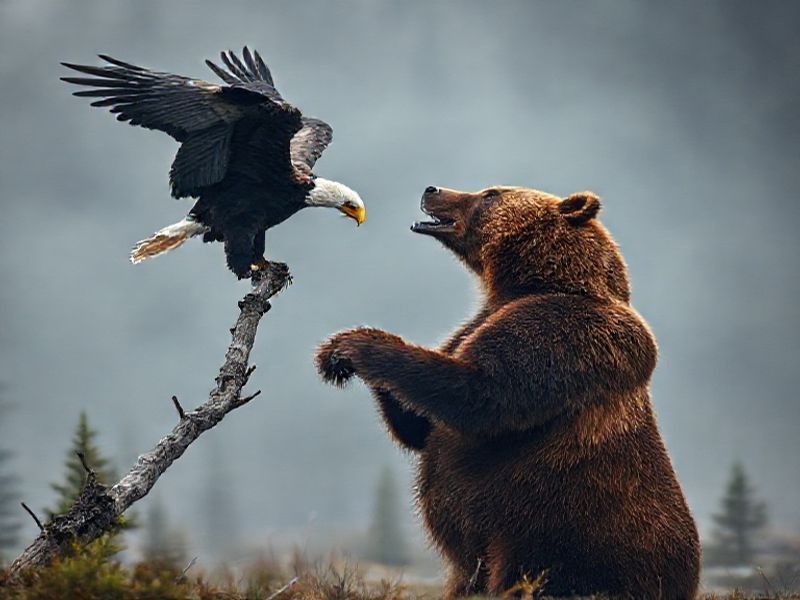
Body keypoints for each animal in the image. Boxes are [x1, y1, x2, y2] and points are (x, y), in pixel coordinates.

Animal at [315, 186, 700, 599]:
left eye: (489, 194)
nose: (432, 190)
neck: (536, 282)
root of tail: (689, 580)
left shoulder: (566, 332)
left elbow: (484, 395)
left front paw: (357, 346)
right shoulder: (472, 326)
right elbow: (420, 425)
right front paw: (337, 349)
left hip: (558, 533)